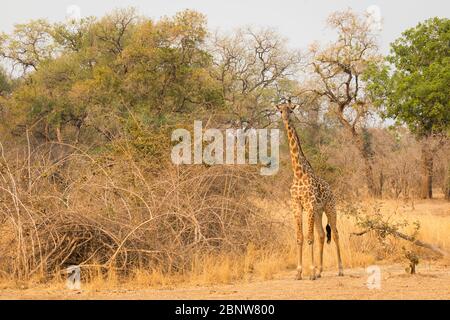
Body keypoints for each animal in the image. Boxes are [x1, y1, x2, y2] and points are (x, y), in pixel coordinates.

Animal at [276, 98, 342, 280]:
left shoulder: (310, 205)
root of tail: (331, 189)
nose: (285, 118)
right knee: (322, 235)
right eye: (280, 110)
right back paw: (320, 271)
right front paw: (299, 272)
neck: (298, 173)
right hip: (319, 212)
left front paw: (310, 272)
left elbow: (309, 237)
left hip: (330, 208)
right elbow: (300, 237)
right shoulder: (297, 206)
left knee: (335, 233)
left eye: (291, 110)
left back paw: (340, 269)